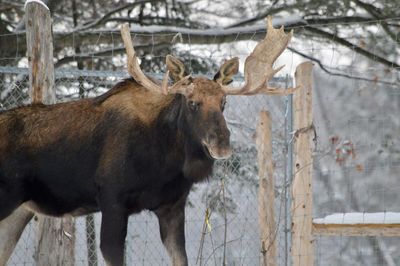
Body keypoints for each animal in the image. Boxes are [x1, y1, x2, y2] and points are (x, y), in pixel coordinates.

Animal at [0, 17, 294, 264]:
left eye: (224, 103)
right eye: (192, 102)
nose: (221, 144)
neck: (164, 164)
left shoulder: (172, 207)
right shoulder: (112, 200)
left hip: (19, 211)